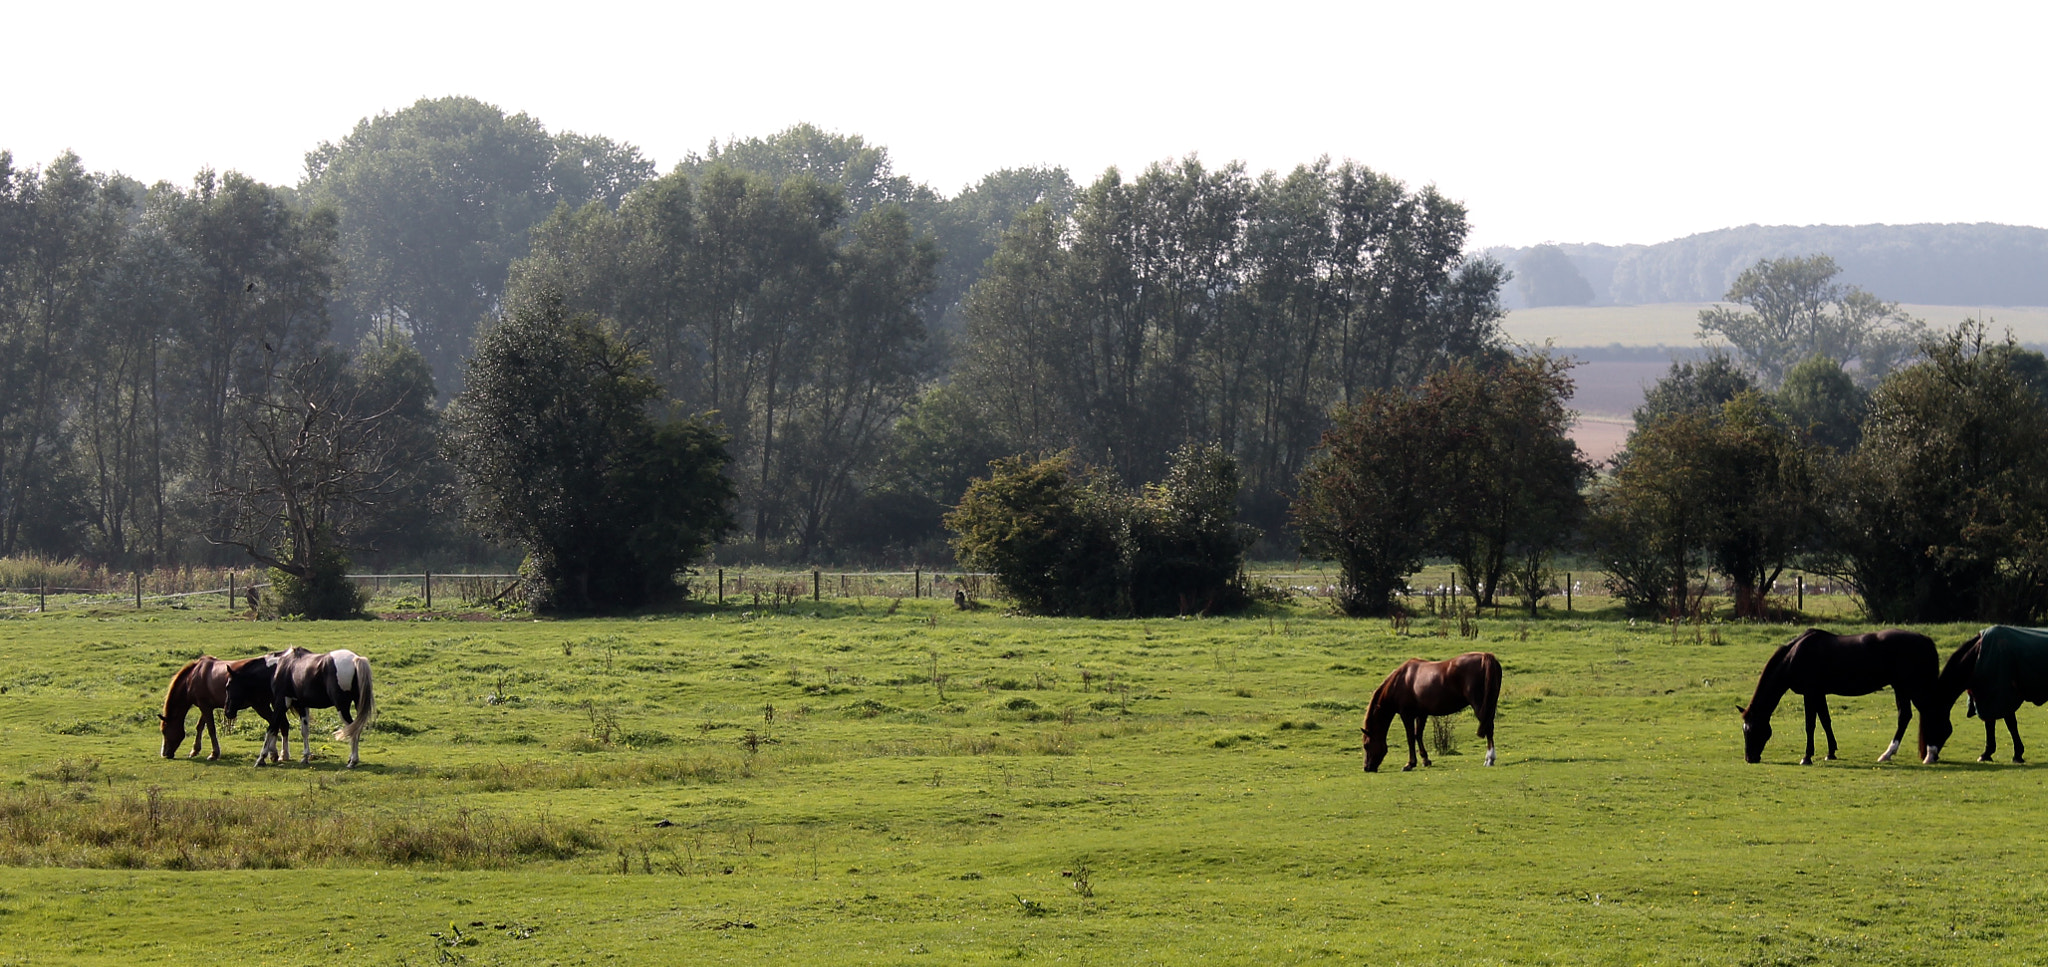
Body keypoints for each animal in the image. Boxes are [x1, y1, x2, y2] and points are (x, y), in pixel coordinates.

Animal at [1359, 651, 1507, 774]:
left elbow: (1410, 737)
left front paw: (1410, 764)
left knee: (1488, 727)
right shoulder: (1421, 714)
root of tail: (1486, 657)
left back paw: (1489, 759)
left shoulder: (1407, 715)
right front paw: (1425, 760)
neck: (1401, 681)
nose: (1366, 768)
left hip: (1479, 705)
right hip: (1490, 704)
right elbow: (1418, 735)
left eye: (1366, 745)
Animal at [1736, 626, 1941, 770]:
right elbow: (1826, 721)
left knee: (1927, 712)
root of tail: (1925, 640)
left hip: (1911, 687)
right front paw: (1831, 752)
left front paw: (1807, 757)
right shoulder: (1819, 693)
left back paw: (1927, 754)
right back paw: (1889, 754)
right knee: (1905, 716)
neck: (1794, 655)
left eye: (1751, 730)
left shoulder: (1810, 693)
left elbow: (1810, 725)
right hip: (1901, 687)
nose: (1749, 758)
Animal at [1916, 626, 2048, 762]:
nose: (1927, 757)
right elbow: (1990, 724)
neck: (1977, 657)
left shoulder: (2000, 697)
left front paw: (2017, 754)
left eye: (1930, 724)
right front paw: (1988, 753)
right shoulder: (1985, 696)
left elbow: (2010, 725)